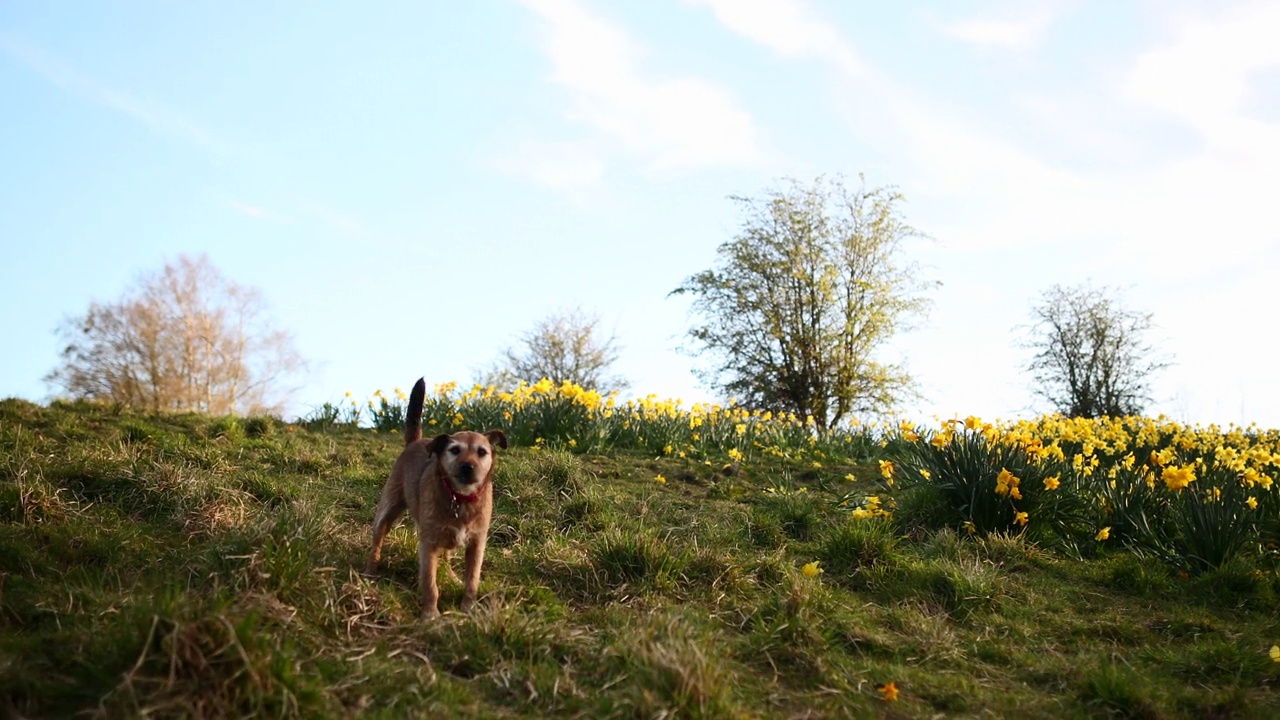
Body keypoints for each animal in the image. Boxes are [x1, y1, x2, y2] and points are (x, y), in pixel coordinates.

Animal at [366, 376, 504, 617]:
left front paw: (468, 608)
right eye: (455, 450)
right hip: (387, 511)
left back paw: (452, 576)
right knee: (377, 542)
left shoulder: (477, 544)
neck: (460, 498)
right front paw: (430, 615)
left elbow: (472, 581)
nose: (467, 467)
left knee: (447, 557)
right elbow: (430, 583)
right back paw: (370, 572)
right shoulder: (428, 543)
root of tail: (414, 442)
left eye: (482, 452)